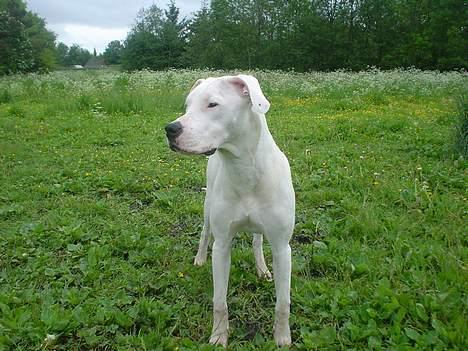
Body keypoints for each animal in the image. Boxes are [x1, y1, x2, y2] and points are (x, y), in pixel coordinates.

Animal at [166, 74, 294, 346]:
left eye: (212, 104)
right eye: (187, 105)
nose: (170, 129)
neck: (243, 168)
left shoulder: (282, 248)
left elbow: (283, 302)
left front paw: (282, 337)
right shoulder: (222, 245)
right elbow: (219, 301)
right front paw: (218, 336)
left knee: (257, 241)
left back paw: (262, 269)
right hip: (207, 208)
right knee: (205, 233)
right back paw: (200, 258)